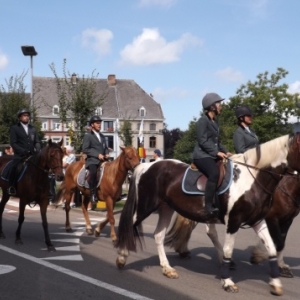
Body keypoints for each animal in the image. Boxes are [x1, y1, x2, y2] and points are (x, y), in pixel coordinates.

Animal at [115, 134, 300, 296]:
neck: (252, 179)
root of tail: (146, 166)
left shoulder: (258, 221)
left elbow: (272, 247)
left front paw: (275, 283)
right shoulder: (235, 221)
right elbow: (228, 250)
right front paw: (227, 282)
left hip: (166, 209)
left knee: (159, 235)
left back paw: (167, 268)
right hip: (145, 207)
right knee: (129, 225)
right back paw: (122, 257)